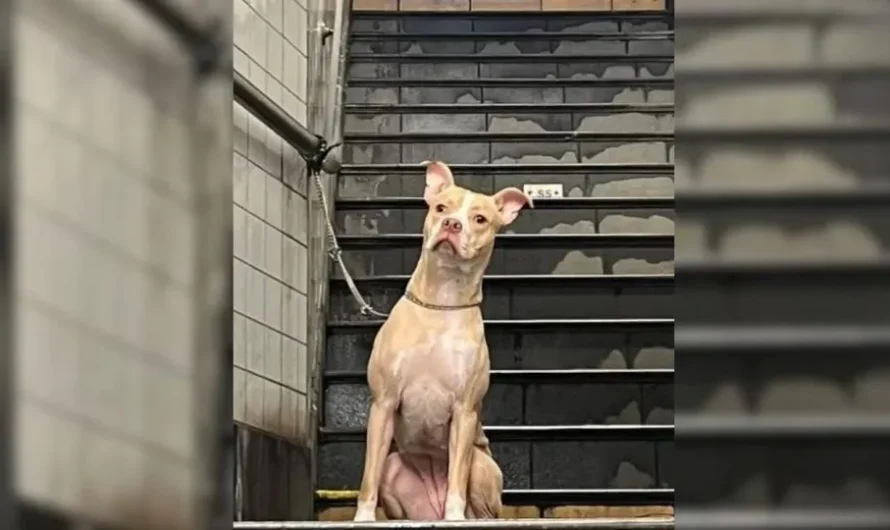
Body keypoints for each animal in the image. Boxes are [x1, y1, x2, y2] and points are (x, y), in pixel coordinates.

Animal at [352, 159, 536, 516]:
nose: (452, 224)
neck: (443, 299)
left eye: (480, 219)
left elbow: (456, 481)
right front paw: (363, 519)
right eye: (440, 208)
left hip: (481, 467)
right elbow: (367, 477)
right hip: (395, 469)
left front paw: (453, 517)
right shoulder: (383, 403)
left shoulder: (464, 411)